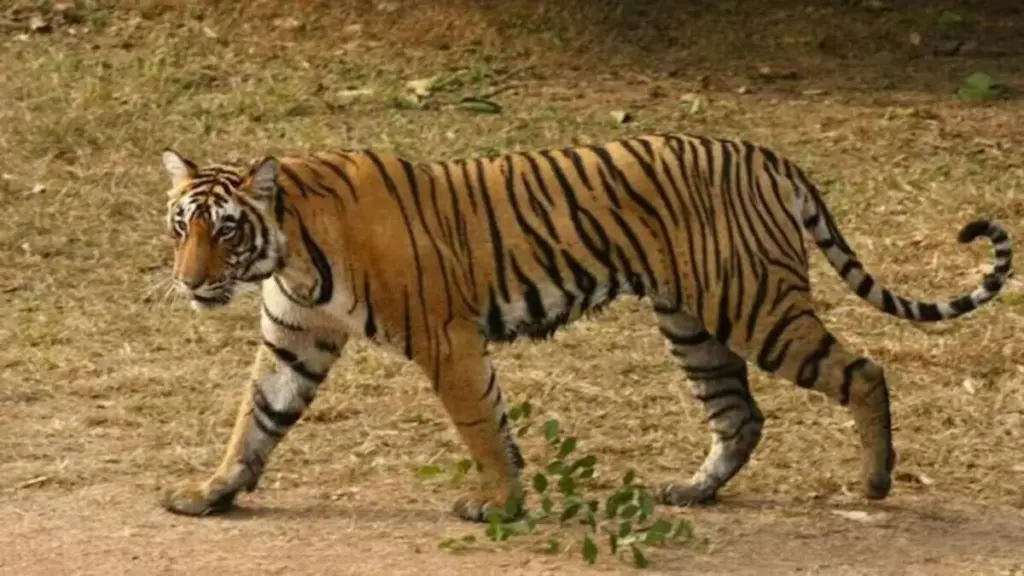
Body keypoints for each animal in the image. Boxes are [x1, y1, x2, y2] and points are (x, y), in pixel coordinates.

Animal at [157, 133, 1012, 521]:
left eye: (225, 230)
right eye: (180, 226)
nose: (191, 281)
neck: (290, 251)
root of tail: (766, 153)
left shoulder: (446, 338)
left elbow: (479, 424)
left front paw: (497, 504)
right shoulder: (294, 339)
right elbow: (254, 422)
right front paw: (211, 492)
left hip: (758, 307)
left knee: (864, 371)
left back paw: (875, 482)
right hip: (692, 322)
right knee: (740, 415)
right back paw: (692, 490)